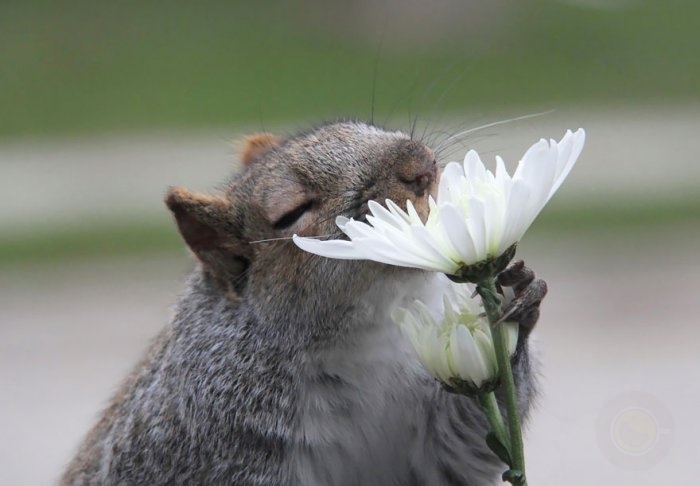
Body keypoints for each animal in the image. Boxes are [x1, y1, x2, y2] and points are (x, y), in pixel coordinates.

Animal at [61, 120, 548, 486]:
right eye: (292, 212)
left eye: (362, 126)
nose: (420, 163)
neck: (365, 336)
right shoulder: (208, 440)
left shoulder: (431, 438)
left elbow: (466, 441)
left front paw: (517, 296)